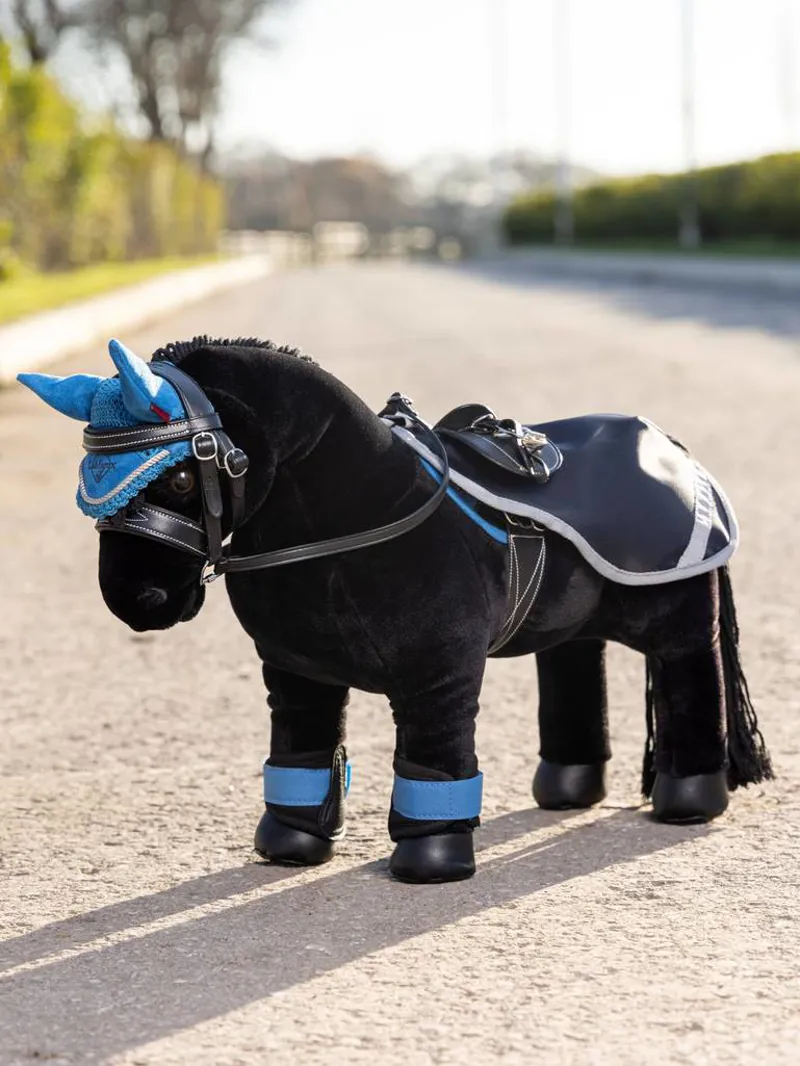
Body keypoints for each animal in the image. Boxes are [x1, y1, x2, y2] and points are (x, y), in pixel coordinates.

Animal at [18, 335, 773, 883]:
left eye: (177, 476)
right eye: (89, 484)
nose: (132, 600)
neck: (356, 519)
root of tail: (678, 449)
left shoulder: (438, 677)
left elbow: (434, 764)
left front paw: (432, 861)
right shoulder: (296, 672)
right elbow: (301, 754)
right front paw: (290, 845)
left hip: (676, 618)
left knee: (691, 672)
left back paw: (689, 799)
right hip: (570, 626)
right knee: (572, 667)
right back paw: (566, 788)